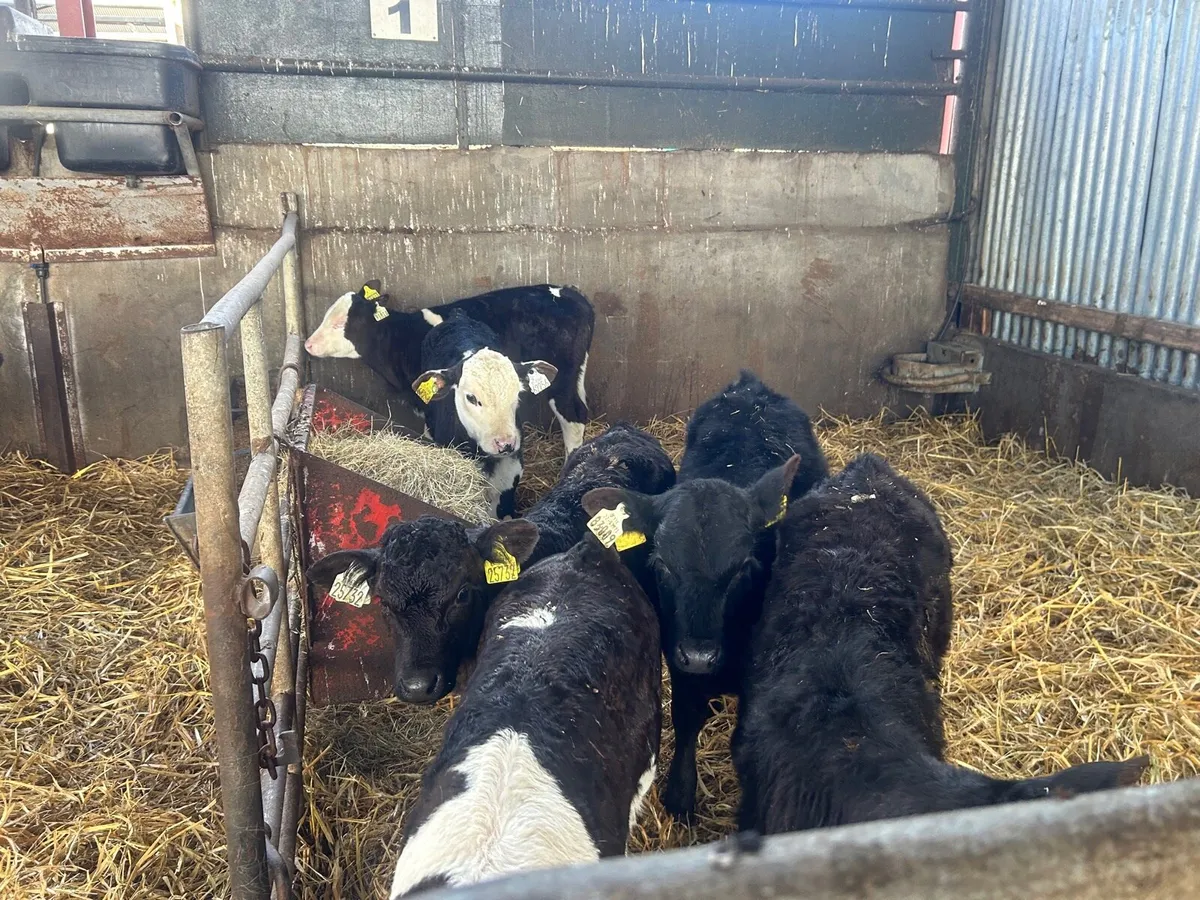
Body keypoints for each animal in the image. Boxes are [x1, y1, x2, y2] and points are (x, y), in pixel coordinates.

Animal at [582, 370, 828, 821]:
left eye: (743, 568)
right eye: (662, 566)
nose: (700, 656)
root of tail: (750, 387)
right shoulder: (676, 656)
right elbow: (685, 718)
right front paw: (680, 795)